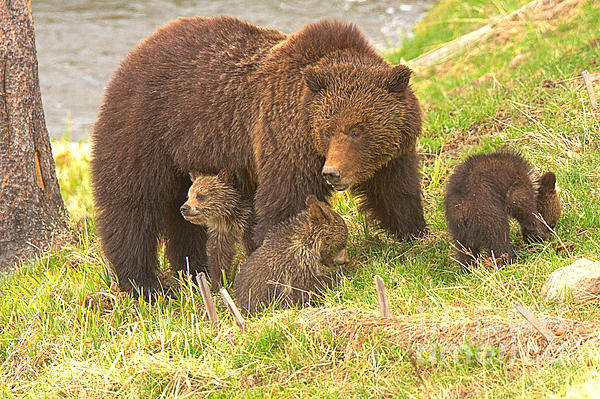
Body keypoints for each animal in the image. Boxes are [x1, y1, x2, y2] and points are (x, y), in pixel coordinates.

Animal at [91, 15, 424, 298]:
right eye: (328, 130)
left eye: (357, 130)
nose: (332, 173)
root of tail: (137, 50)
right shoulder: (283, 137)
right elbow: (284, 203)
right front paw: (272, 267)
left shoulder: (392, 156)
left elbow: (397, 193)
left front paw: (415, 236)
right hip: (144, 128)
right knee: (132, 205)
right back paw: (143, 283)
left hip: (184, 160)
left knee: (181, 215)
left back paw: (193, 269)